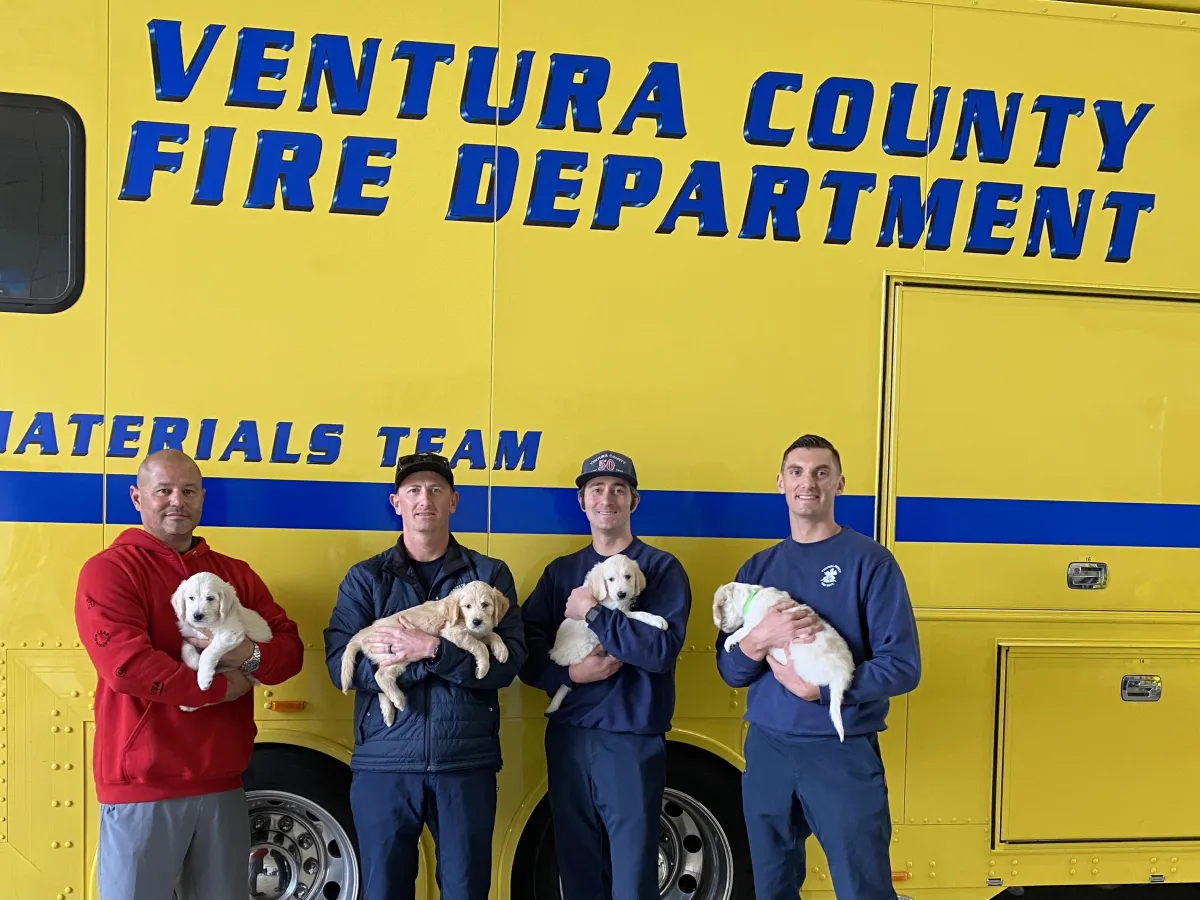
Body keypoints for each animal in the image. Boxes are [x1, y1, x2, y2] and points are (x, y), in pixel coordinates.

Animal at [172, 573, 273, 715]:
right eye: (191, 598)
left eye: (210, 598)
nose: (197, 615)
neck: (208, 625)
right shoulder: (189, 634)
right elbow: (186, 650)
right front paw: (195, 663)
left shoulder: (230, 633)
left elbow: (208, 653)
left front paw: (203, 678)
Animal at [340, 580, 508, 729]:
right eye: (467, 606)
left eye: (485, 605)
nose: (476, 621)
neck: (459, 615)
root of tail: (362, 636)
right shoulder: (452, 632)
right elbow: (480, 646)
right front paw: (483, 669)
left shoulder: (479, 631)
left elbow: (492, 635)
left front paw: (501, 650)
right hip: (398, 654)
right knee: (380, 675)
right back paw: (399, 700)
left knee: (377, 683)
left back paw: (388, 713)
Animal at [544, 554, 667, 715]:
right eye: (610, 579)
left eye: (628, 576)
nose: (621, 594)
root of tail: (555, 654)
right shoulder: (619, 611)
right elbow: (639, 614)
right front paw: (658, 620)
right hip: (586, 646)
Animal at [710, 580, 854, 744]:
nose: (722, 629)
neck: (752, 596)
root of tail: (841, 676)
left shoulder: (755, 627)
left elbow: (740, 632)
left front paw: (729, 642)